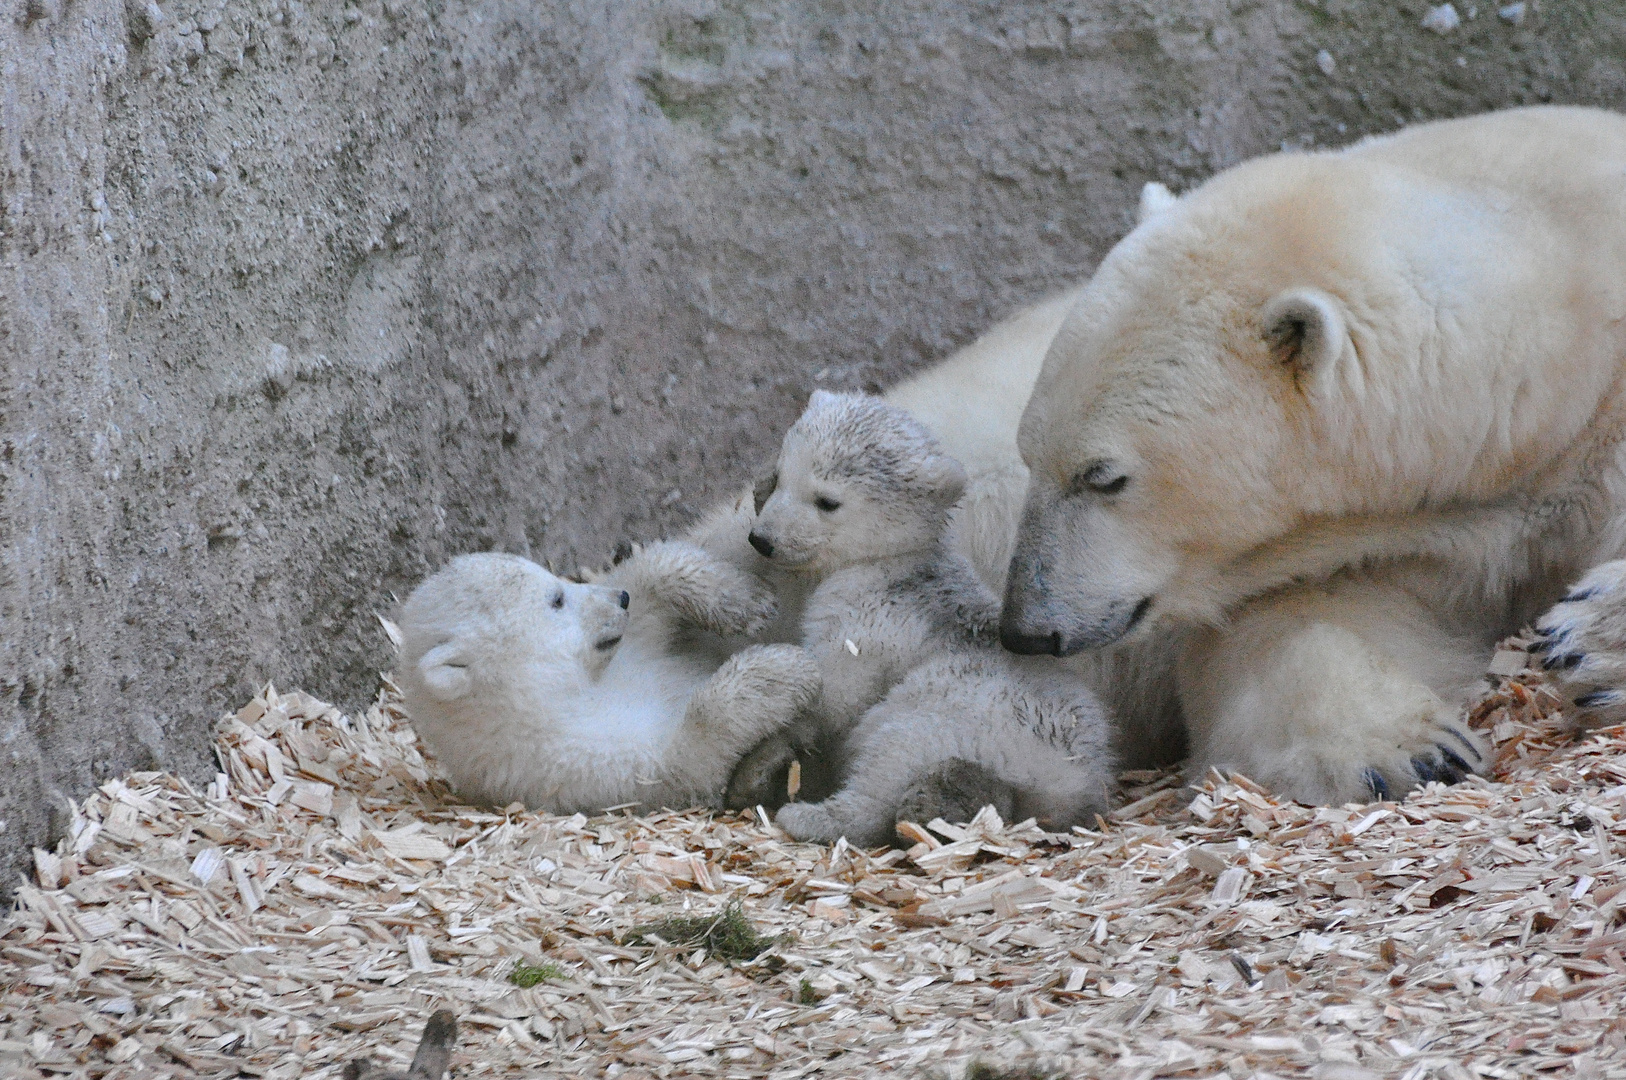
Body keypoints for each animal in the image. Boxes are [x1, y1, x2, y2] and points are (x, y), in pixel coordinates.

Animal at [1001, 107, 1626, 800]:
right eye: (1029, 454)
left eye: (1104, 477)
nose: (1025, 628)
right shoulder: (1405, 536)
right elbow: (1296, 622)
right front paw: (1410, 752)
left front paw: (1589, 638)